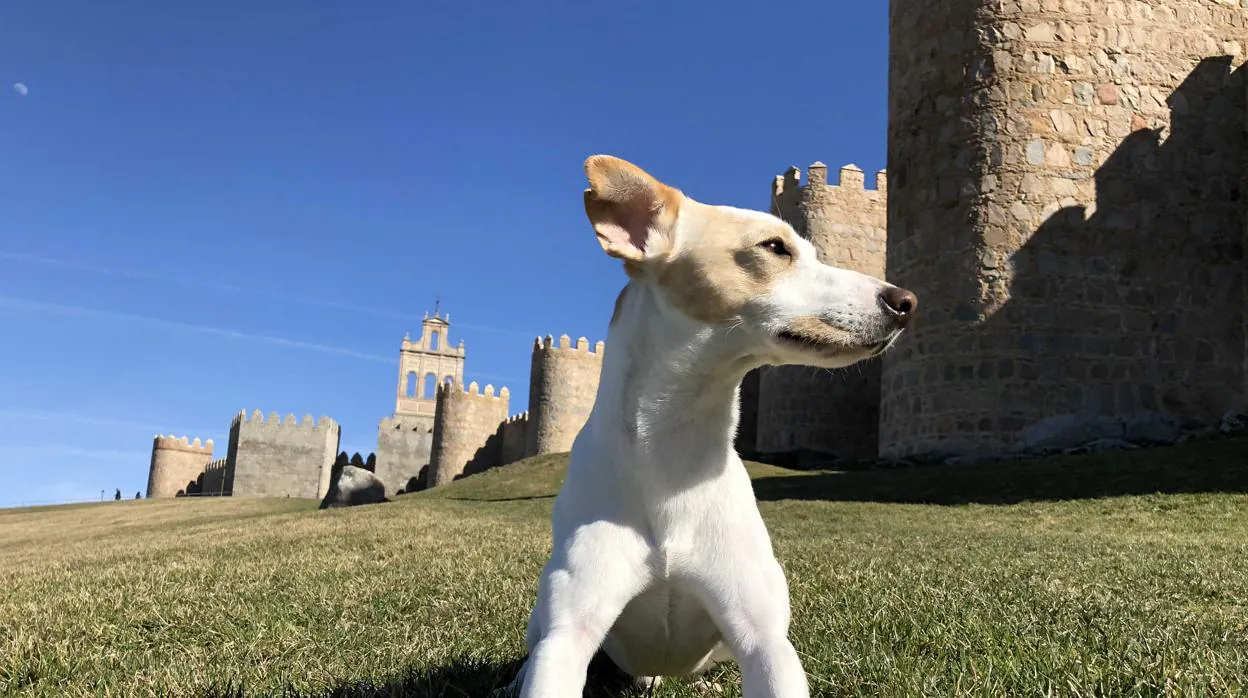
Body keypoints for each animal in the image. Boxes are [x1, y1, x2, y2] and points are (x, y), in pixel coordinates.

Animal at [506, 155, 918, 694]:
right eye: (774, 247)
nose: (906, 301)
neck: (673, 458)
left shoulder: (764, 641)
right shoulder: (567, 636)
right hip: (545, 614)